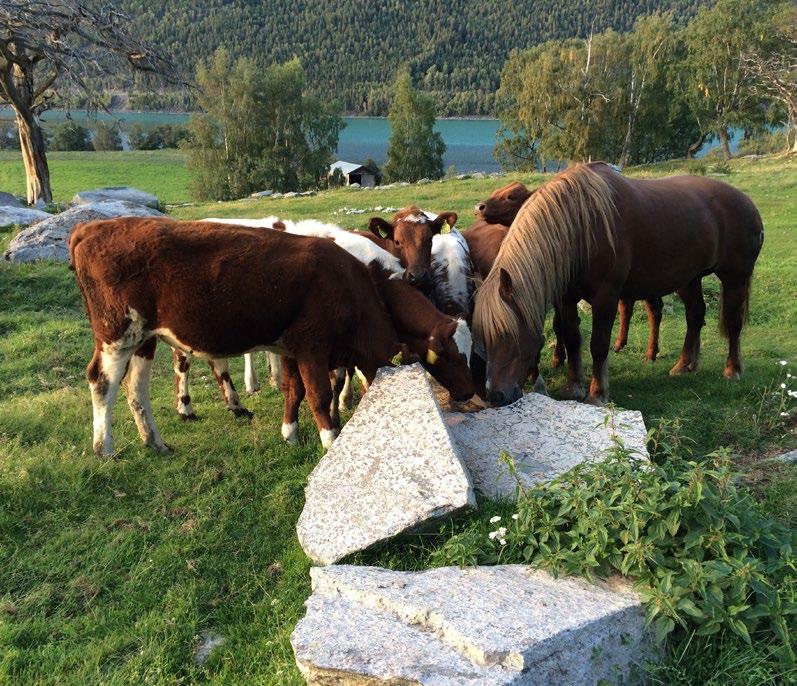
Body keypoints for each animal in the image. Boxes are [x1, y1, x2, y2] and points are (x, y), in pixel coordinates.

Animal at [472, 161, 764, 408]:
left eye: (506, 334)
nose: (495, 396)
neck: (581, 226)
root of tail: (747, 202)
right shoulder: (566, 298)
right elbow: (573, 338)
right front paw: (573, 387)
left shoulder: (606, 297)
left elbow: (598, 344)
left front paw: (597, 393)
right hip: (689, 279)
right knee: (695, 315)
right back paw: (685, 365)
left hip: (735, 278)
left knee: (733, 323)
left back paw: (732, 370)